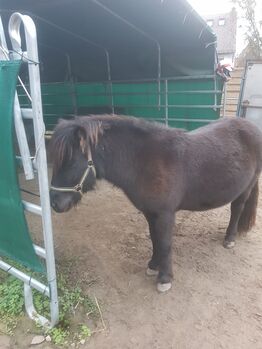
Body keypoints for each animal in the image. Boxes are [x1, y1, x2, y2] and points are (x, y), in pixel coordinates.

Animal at [49, 115, 262, 290]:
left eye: (71, 161)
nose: (54, 203)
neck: (143, 161)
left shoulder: (165, 214)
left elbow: (165, 242)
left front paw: (165, 278)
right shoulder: (150, 213)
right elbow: (155, 239)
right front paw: (153, 265)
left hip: (246, 188)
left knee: (237, 209)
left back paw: (229, 239)